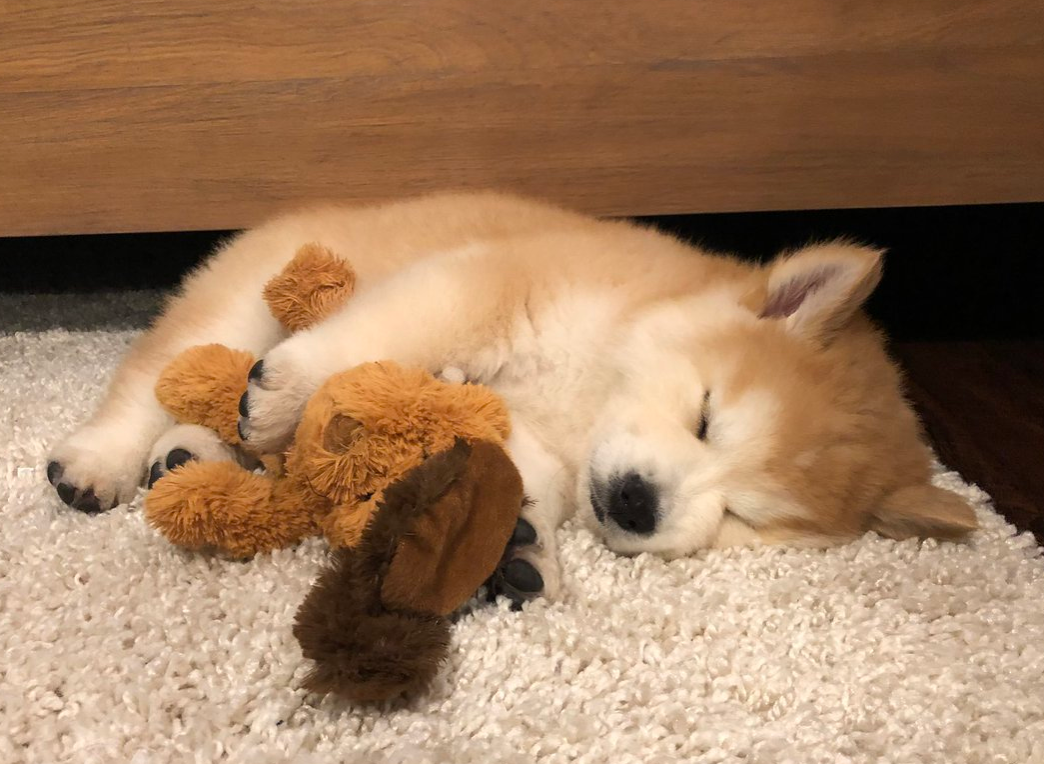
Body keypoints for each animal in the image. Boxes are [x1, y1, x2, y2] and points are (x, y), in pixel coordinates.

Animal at [46, 189, 977, 597]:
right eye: (707, 417)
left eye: (745, 518)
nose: (637, 503)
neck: (589, 389)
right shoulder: (481, 289)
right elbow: (368, 345)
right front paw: (285, 396)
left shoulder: (545, 437)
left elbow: (530, 478)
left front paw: (519, 542)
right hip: (243, 299)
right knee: (152, 380)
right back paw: (102, 462)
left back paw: (190, 456)